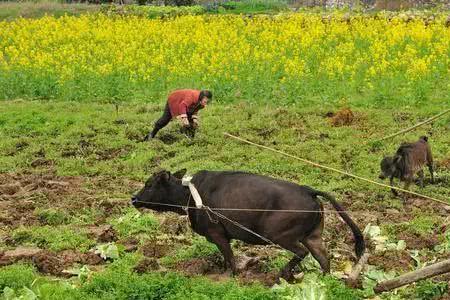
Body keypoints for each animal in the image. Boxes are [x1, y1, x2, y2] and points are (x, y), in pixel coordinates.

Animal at [131, 169, 366, 278]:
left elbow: (230, 257)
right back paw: (323, 280)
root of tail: (308, 190)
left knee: (302, 252)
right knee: (323, 258)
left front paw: (234, 276)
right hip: (313, 236)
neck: (190, 195)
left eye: (149, 184)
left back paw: (282, 273)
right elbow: (226, 259)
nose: (133, 198)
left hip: (280, 235)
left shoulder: (218, 234)